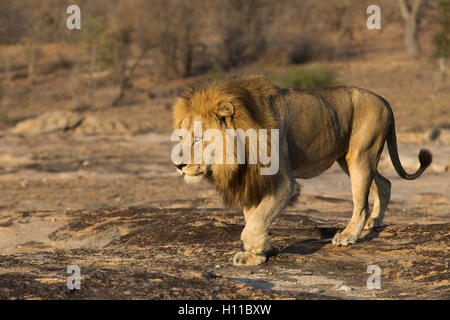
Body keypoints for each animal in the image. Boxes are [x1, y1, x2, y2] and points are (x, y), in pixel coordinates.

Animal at [171, 74, 428, 264]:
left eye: (198, 139)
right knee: (385, 184)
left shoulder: (283, 182)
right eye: (182, 137)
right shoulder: (252, 180)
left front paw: (252, 250)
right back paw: (373, 223)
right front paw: (255, 255)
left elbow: (257, 220)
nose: (178, 165)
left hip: (361, 156)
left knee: (361, 203)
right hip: (350, 160)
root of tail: (384, 100)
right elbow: (254, 217)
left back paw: (348, 236)